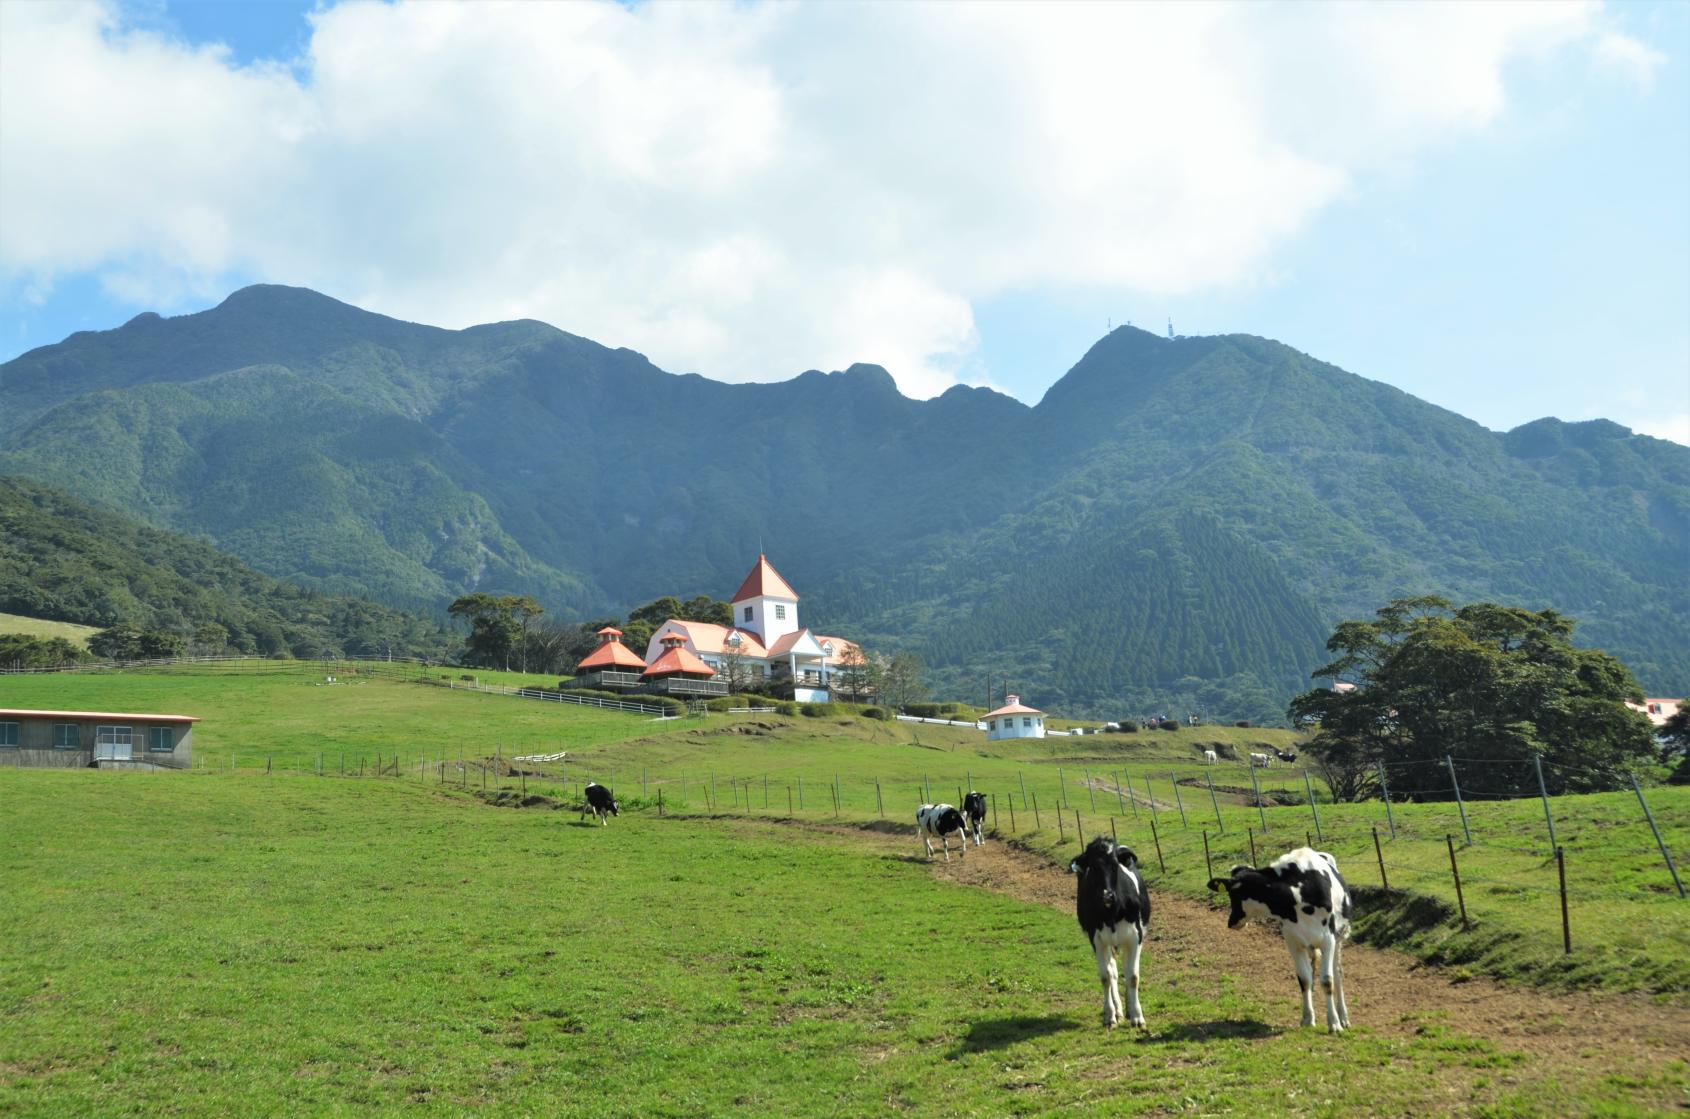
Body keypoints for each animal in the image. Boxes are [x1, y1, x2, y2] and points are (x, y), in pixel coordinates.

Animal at [1068, 841, 1149, 1034]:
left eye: (1114, 866)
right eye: (1093, 868)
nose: (1107, 895)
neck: (1112, 911)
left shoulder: (1135, 937)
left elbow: (1133, 976)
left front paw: (1137, 1017)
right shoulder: (1097, 940)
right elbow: (1105, 977)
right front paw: (1110, 1017)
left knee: (1125, 971)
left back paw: (1128, 1010)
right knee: (1113, 973)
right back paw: (1119, 1011)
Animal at [1210, 851, 1352, 1034]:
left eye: (1233, 895)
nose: (1230, 922)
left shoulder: (1328, 938)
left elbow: (1327, 980)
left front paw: (1334, 1023)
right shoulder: (1292, 940)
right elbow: (1304, 979)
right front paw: (1307, 1018)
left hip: (1339, 937)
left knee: (1337, 973)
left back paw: (1343, 1017)